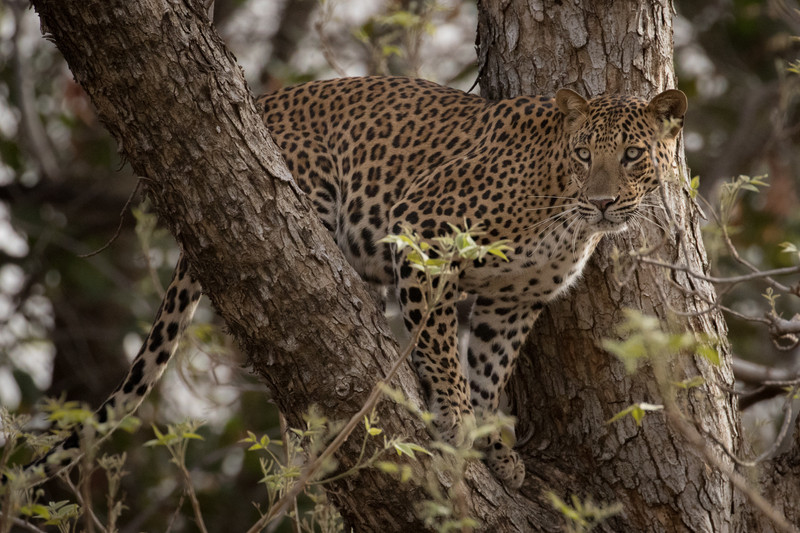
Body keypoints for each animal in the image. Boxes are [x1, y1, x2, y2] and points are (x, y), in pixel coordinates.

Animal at [3, 76, 684, 490]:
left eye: (632, 156)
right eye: (582, 153)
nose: (602, 202)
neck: (564, 212)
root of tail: (265, 103)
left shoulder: (511, 301)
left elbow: (489, 369)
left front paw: (497, 448)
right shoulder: (425, 233)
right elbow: (445, 353)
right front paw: (457, 421)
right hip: (311, 188)